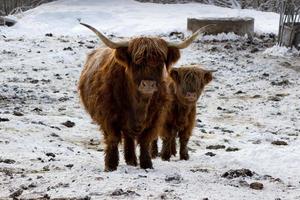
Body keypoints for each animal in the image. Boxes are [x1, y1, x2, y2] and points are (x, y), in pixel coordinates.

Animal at [78, 23, 209, 170]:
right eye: (137, 61)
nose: (148, 84)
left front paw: (147, 164)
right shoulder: (108, 116)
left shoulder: (156, 117)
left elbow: (146, 139)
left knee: (129, 137)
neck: (138, 103)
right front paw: (110, 165)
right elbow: (113, 138)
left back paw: (131, 161)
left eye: (160, 62)